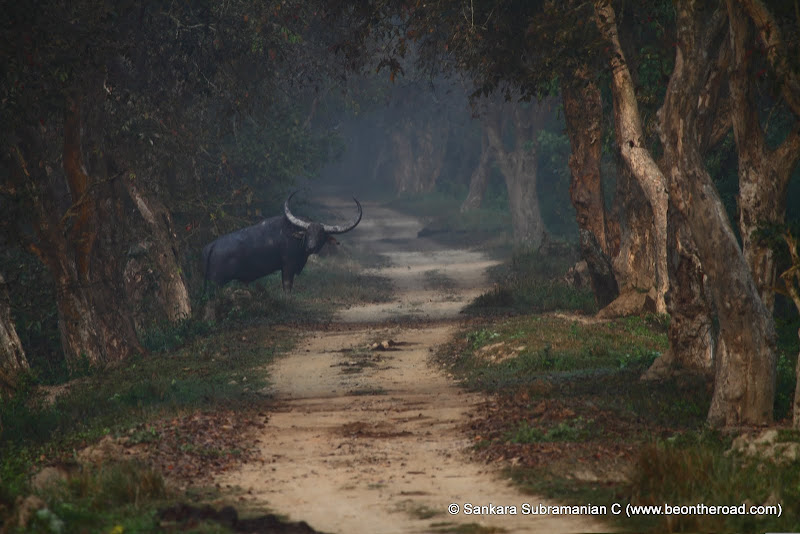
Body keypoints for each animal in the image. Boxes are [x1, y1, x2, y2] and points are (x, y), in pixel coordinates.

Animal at [203, 192, 362, 294]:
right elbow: (287, 286)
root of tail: (211, 246)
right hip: (216, 281)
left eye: (321, 234)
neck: (297, 238)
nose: (311, 247)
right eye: (308, 233)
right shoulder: (288, 266)